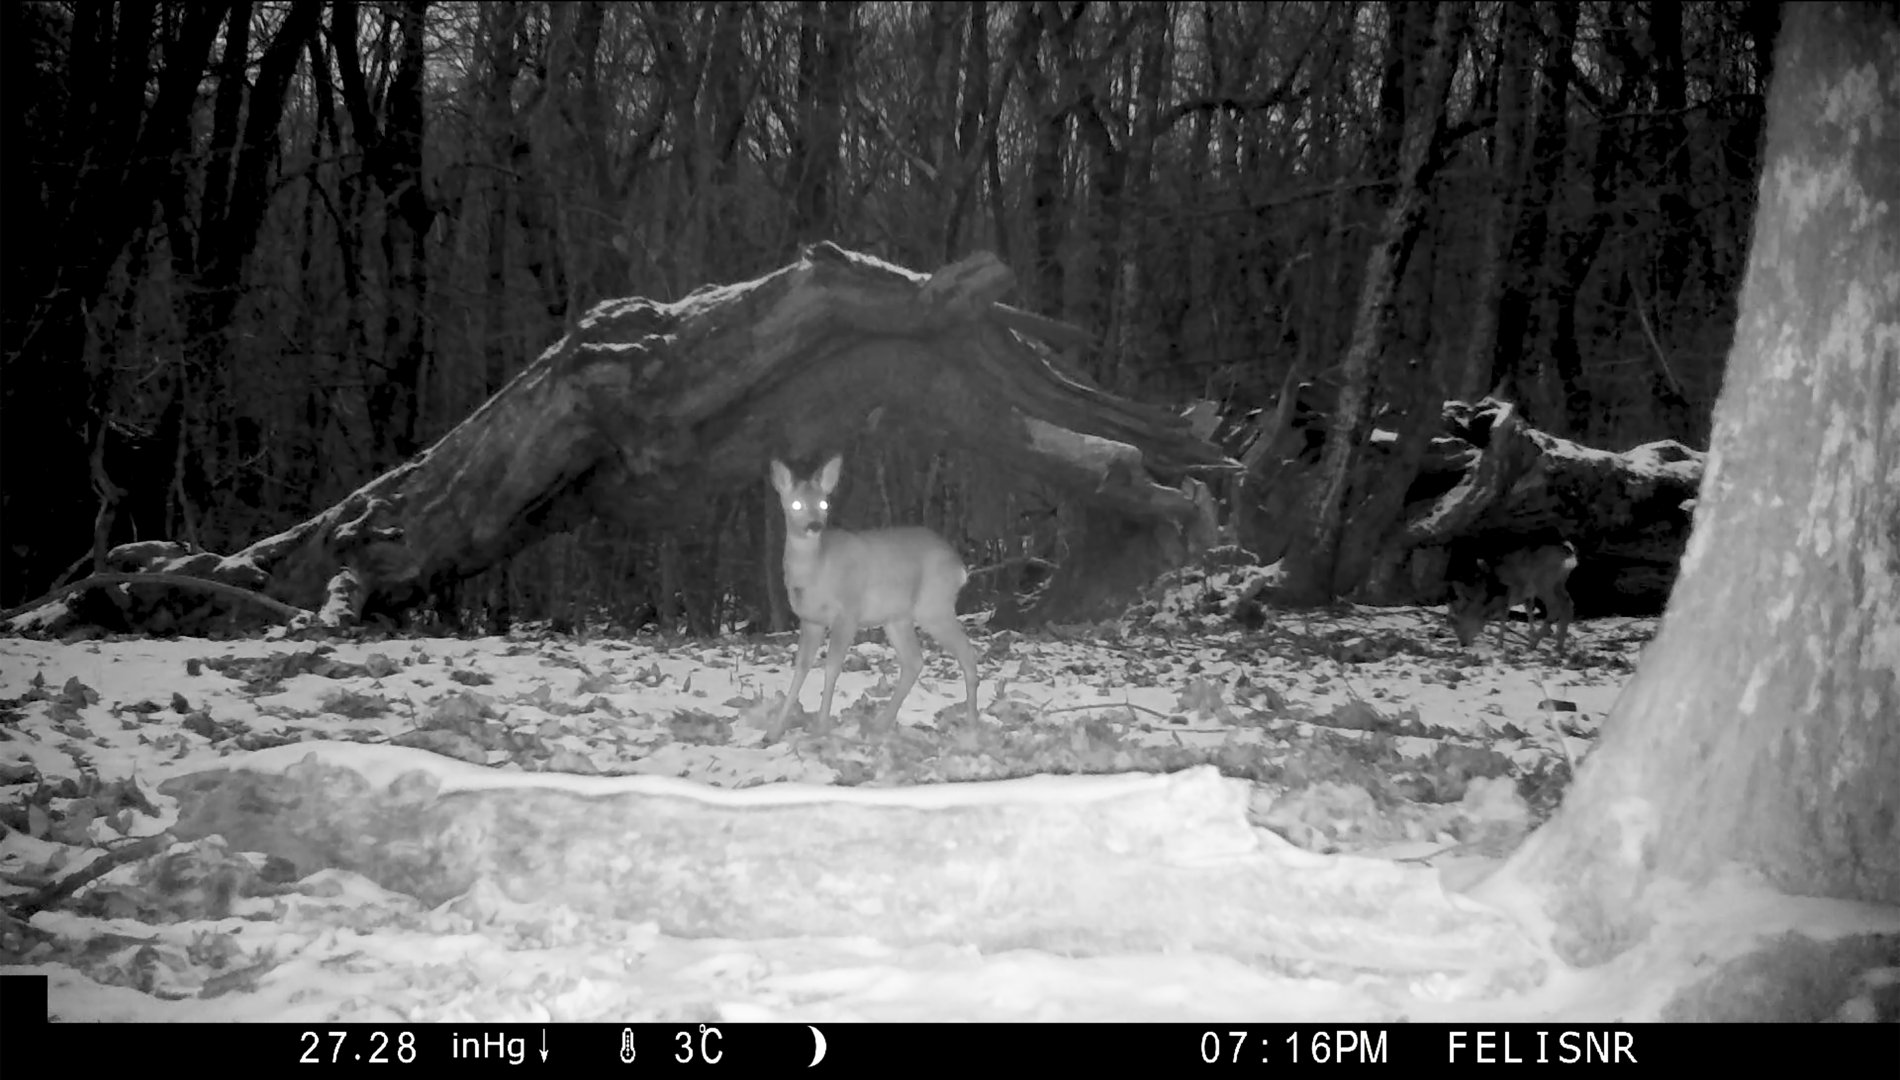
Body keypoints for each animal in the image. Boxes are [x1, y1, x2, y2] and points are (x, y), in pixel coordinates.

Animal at [767, 450, 980, 737]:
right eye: (797, 504)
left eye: (824, 504)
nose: (814, 525)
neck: (816, 572)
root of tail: (960, 567)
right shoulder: (810, 619)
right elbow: (800, 668)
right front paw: (775, 730)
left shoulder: (848, 612)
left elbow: (832, 667)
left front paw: (821, 727)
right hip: (897, 616)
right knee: (914, 661)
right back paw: (881, 724)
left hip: (934, 606)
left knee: (966, 654)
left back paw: (972, 725)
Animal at [1444, 540, 1580, 650]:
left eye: (1455, 620)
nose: (1463, 644)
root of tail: (1569, 554)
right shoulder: (1527, 596)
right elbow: (1529, 613)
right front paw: (1530, 636)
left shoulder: (1508, 593)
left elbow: (1504, 615)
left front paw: (1499, 645)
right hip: (1559, 583)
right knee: (1568, 604)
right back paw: (1558, 646)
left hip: (1544, 583)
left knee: (1554, 608)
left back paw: (1534, 644)